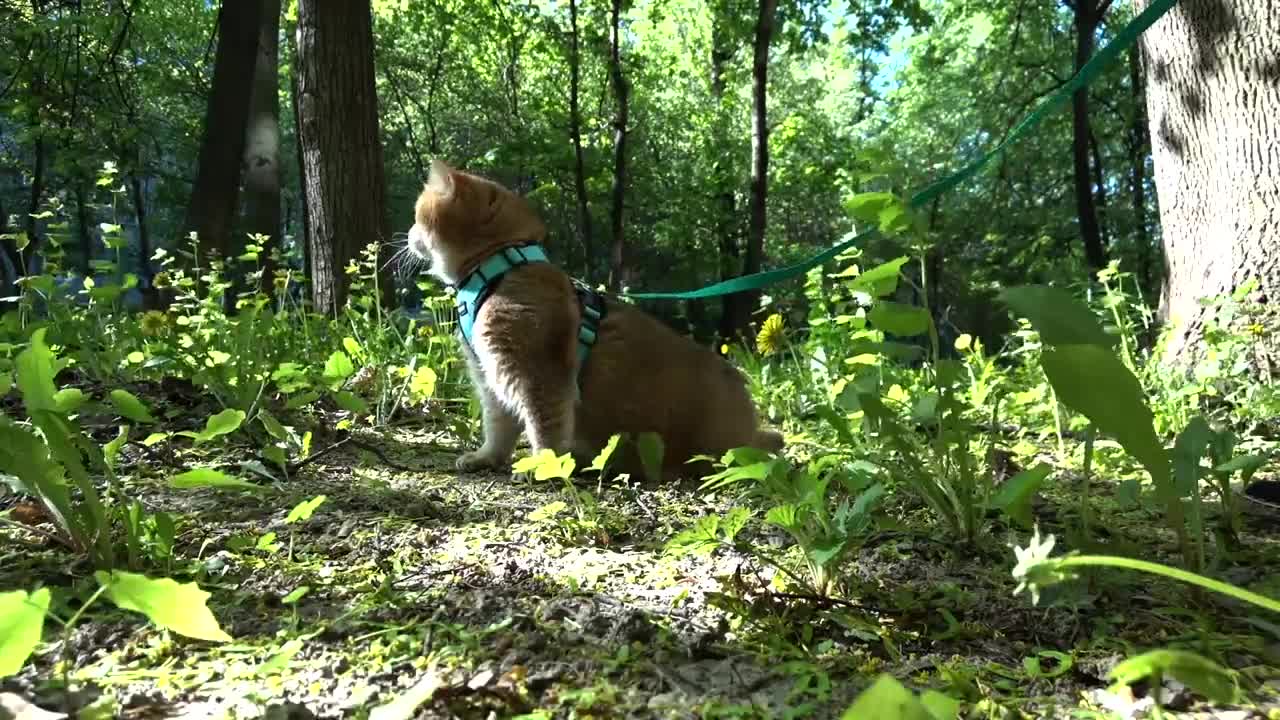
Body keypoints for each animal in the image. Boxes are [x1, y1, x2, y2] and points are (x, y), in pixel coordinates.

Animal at [404, 159, 783, 479]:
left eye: (417, 214)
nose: (407, 234)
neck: (502, 267)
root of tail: (750, 426)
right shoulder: (490, 375)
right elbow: (499, 426)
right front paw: (486, 458)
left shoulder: (539, 376)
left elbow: (545, 427)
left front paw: (541, 466)